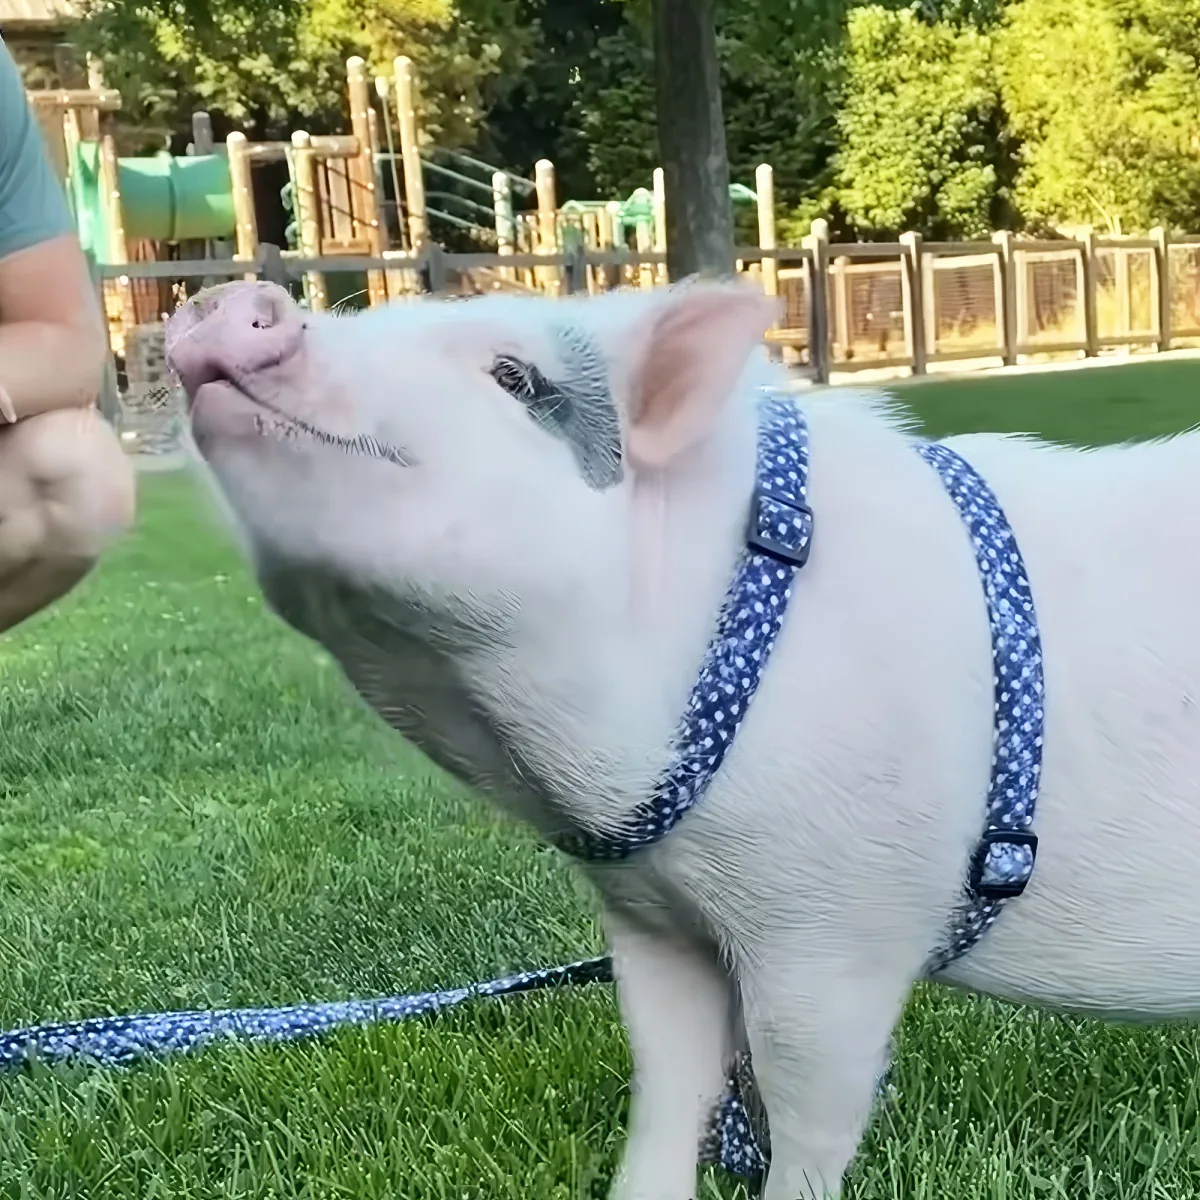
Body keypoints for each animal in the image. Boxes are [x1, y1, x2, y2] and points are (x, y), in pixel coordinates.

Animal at [165, 276, 1200, 1200]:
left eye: (515, 377)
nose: (230, 298)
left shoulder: (836, 928)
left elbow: (806, 1110)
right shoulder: (653, 917)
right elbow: (668, 1082)